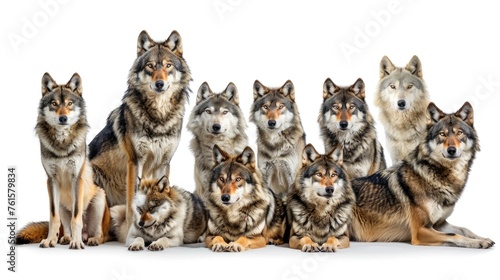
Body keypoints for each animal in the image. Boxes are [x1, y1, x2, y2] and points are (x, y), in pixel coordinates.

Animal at [16, 72, 110, 249]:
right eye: (54, 103)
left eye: (69, 103)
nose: (63, 118)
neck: (61, 143)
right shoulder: (51, 181)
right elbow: (53, 218)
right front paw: (49, 240)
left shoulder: (77, 179)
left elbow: (76, 217)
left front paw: (76, 242)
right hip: (60, 204)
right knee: (63, 226)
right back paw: (64, 238)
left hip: (99, 199)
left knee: (101, 235)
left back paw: (90, 240)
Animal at [88, 29, 191, 229]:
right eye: (150, 66)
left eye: (168, 66)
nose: (159, 84)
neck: (159, 117)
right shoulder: (135, 161)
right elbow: (132, 201)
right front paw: (131, 227)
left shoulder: (163, 163)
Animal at [350, 101, 494, 248]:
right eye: (442, 134)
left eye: (460, 133)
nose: (451, 150)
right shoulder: (420, 231)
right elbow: (454, 235)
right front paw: (477, 242)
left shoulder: (440, 223)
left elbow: (464, 229)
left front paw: (482, 238)